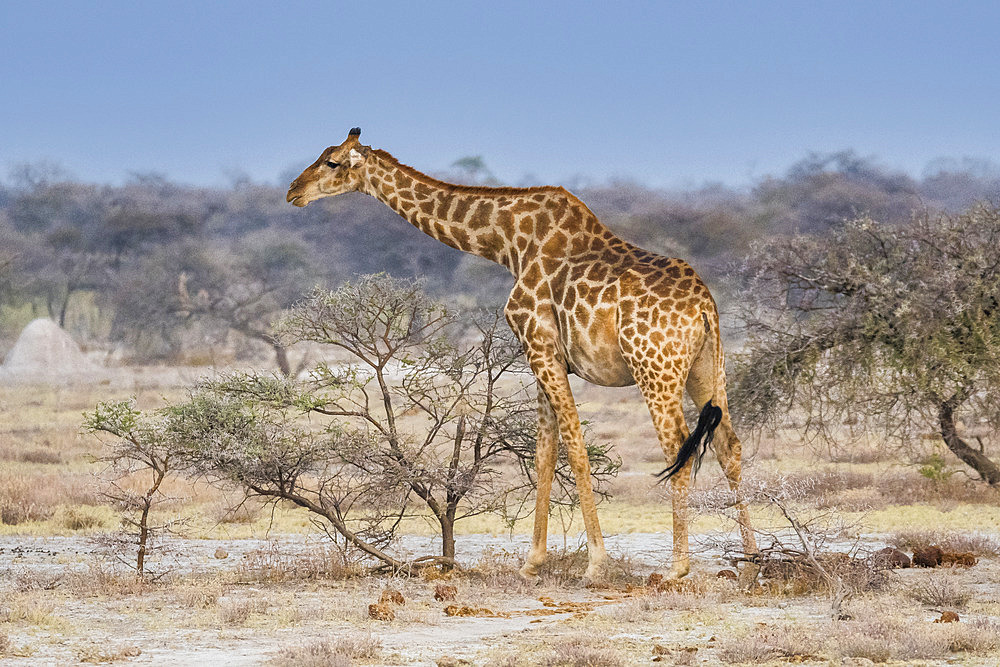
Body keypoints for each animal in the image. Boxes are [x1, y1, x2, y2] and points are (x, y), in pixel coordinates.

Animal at [290, 128, 756, 580]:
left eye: (332, 162)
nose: (294, 190)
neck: (507, 242)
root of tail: (704, 307)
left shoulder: (540, 347)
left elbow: (576, 449)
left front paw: (595, 565)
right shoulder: (545, 357)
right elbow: (544, 453)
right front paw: (532, 563)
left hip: (655, 368)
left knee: (679, 446)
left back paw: (678, 568)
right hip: (706, 368)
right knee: (729, 445)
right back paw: (751, 560)